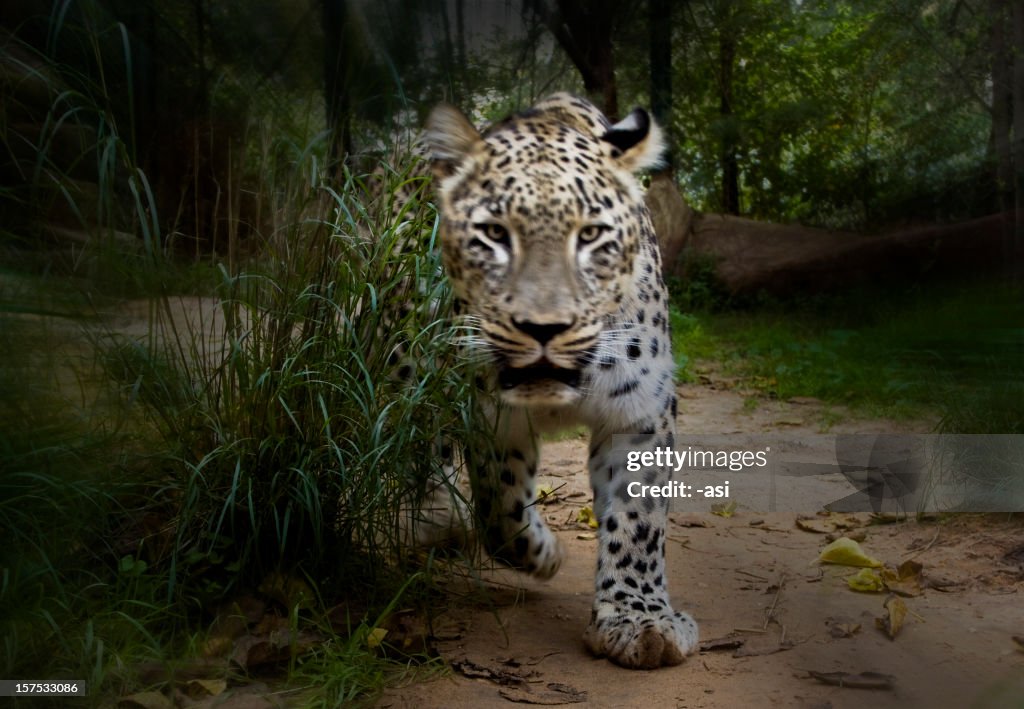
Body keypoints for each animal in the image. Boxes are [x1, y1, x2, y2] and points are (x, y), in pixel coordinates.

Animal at [414, 92, 699, 670]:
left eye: (590, 235)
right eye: (493, 235)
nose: (543, 327)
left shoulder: (640, 411)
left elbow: (638, 519)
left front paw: (638, 619)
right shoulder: (488, 411)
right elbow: (499, 503)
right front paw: (542, 554)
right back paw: (436, 515)